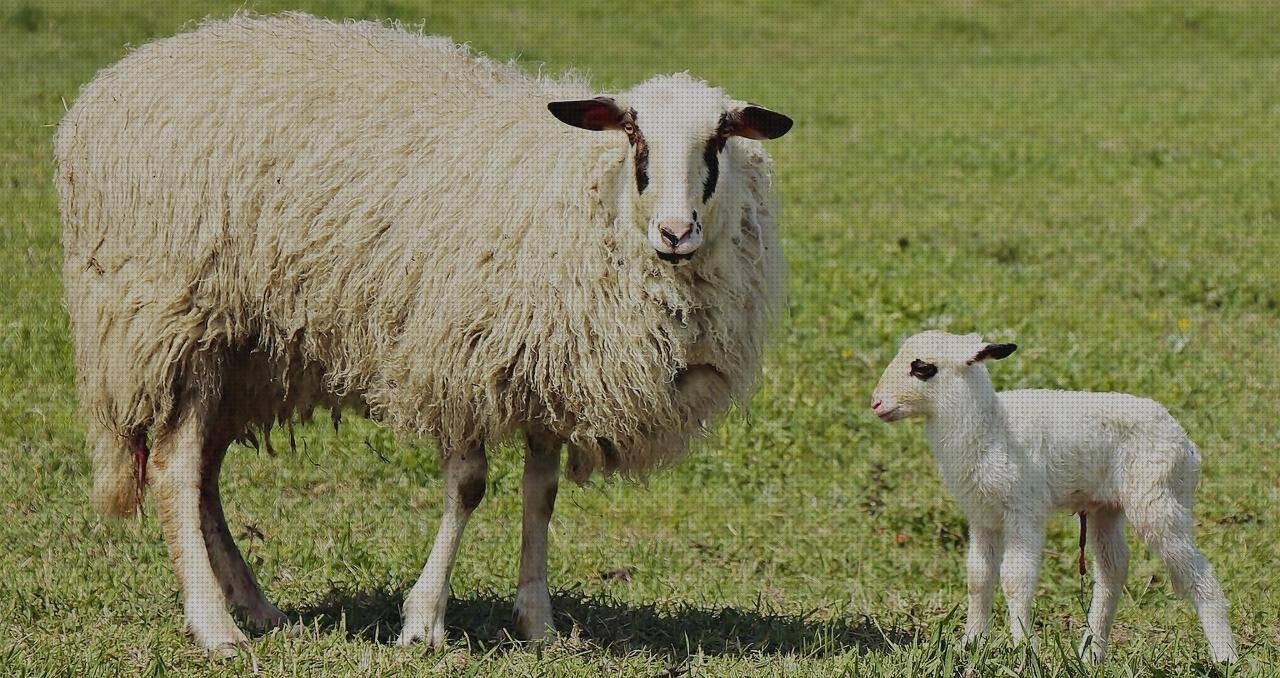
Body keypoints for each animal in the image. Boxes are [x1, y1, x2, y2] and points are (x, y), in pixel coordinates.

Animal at [57, 11, 788, 654]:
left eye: (719, 141)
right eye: (634, 138)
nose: (676, 232)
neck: (583, 193)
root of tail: (108, 86)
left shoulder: (545, 365)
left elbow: (541, 496)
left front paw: (538, 624)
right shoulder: (459, 353)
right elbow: (467, 488)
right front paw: (423, 623)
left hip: (246, 352)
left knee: (204, 473)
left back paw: (258, 609)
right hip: (171, 319)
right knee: (175, 471)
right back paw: (216, 628)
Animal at [865, 330, 1233, 660]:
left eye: (923, 368)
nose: (876, 403)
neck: (991, 427)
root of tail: (1188, 445)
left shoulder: (1024, 509)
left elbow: (1015, 579)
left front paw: (1022, 648)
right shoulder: (983, 516)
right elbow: (978, 577)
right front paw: (971, 644)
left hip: (1159, 498)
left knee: (1197, 570)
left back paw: (1224, 656)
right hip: (1107, 507)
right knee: (1112, 570)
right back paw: (1091, 653)